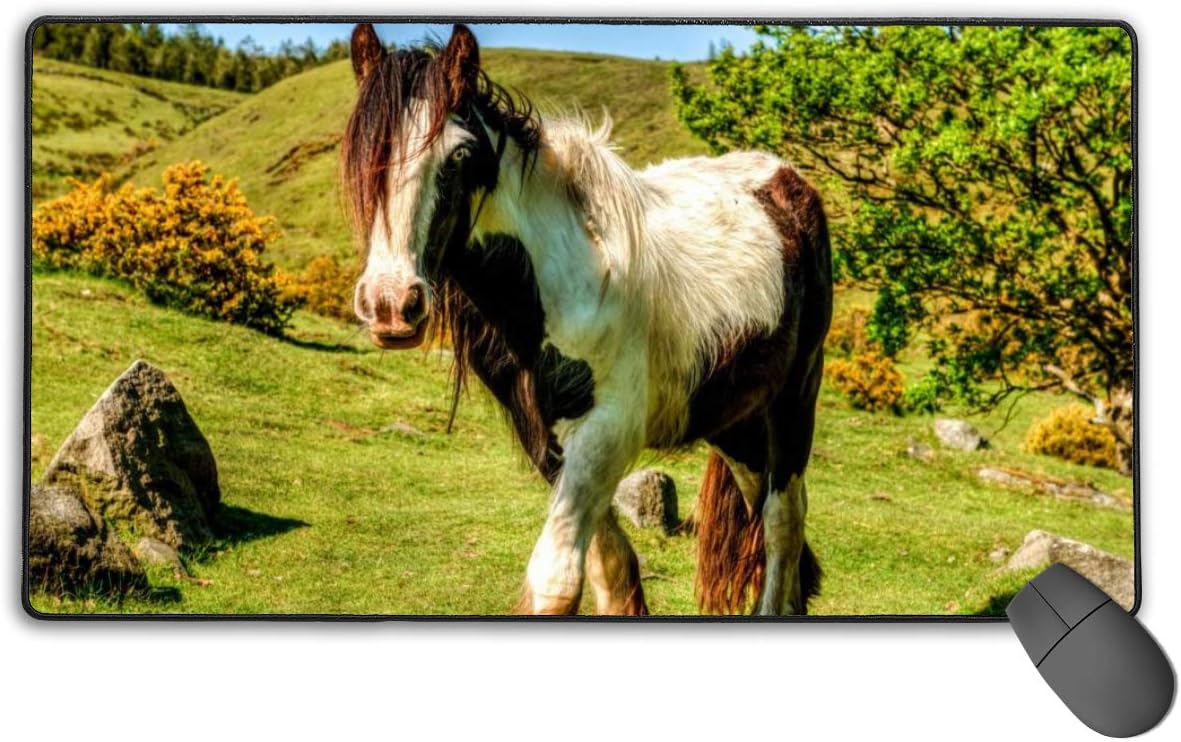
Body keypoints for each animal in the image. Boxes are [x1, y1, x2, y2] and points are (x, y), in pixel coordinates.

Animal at [340, 23, 833, 616]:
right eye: (363, 150)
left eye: (458, 155)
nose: (392, 304)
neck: (566, 276)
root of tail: (787, 181)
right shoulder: (550, 442)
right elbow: (610, 569)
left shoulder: (606, 434)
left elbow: (555, 580)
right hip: (734, 421)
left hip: (793, 400)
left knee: (784, 520)